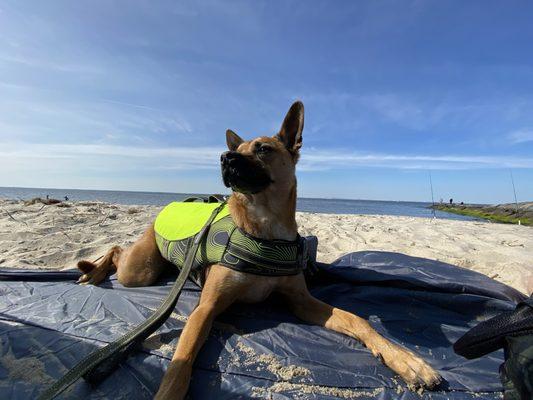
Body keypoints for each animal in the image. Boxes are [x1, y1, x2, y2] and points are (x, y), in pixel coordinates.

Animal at [76, 101, 440, 398]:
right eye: (237, 148)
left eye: (263, 148)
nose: (225, 157)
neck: (265, 228)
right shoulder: (206, 308)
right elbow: (182, 361)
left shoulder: (301, 301)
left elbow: (358, 320)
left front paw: (406, 360)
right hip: (140, 271)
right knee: (116, 248)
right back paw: (91, 271)